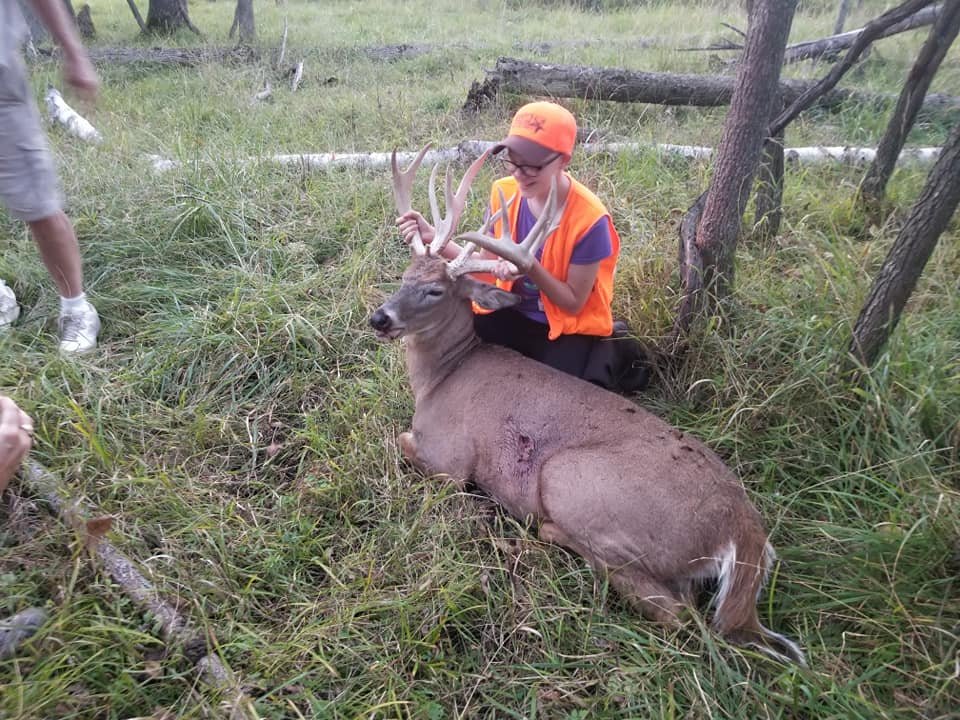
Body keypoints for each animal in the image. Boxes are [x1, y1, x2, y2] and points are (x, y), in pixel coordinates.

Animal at [369, 145, 806, 666]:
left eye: (435, 290)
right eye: (403, 277)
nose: (380, 318)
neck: (442, 377)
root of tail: (741, 531)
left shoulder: (451, 459)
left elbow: (397, 439)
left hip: (569, 479)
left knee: (678, 612)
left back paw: (549, 532)